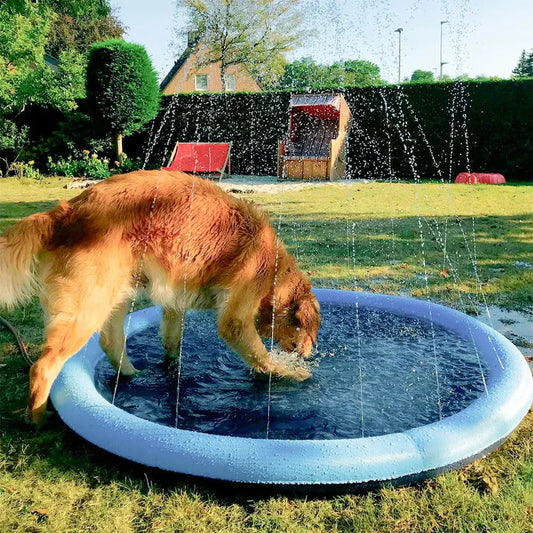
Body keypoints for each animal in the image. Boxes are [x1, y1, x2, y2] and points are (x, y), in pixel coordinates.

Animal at [0, 170, 320, 424]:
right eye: (310, 332)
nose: (310, 353)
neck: (274, 268)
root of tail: (66, 211)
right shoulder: (236, 316)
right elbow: (261, 354)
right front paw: (293, 373)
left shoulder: (175, 302)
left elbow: (172, 340)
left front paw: (171, 370)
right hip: (88, 305)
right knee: (43, 367)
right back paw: (38, 418)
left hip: (116, 291)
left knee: (110, 342)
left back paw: (134, 376)